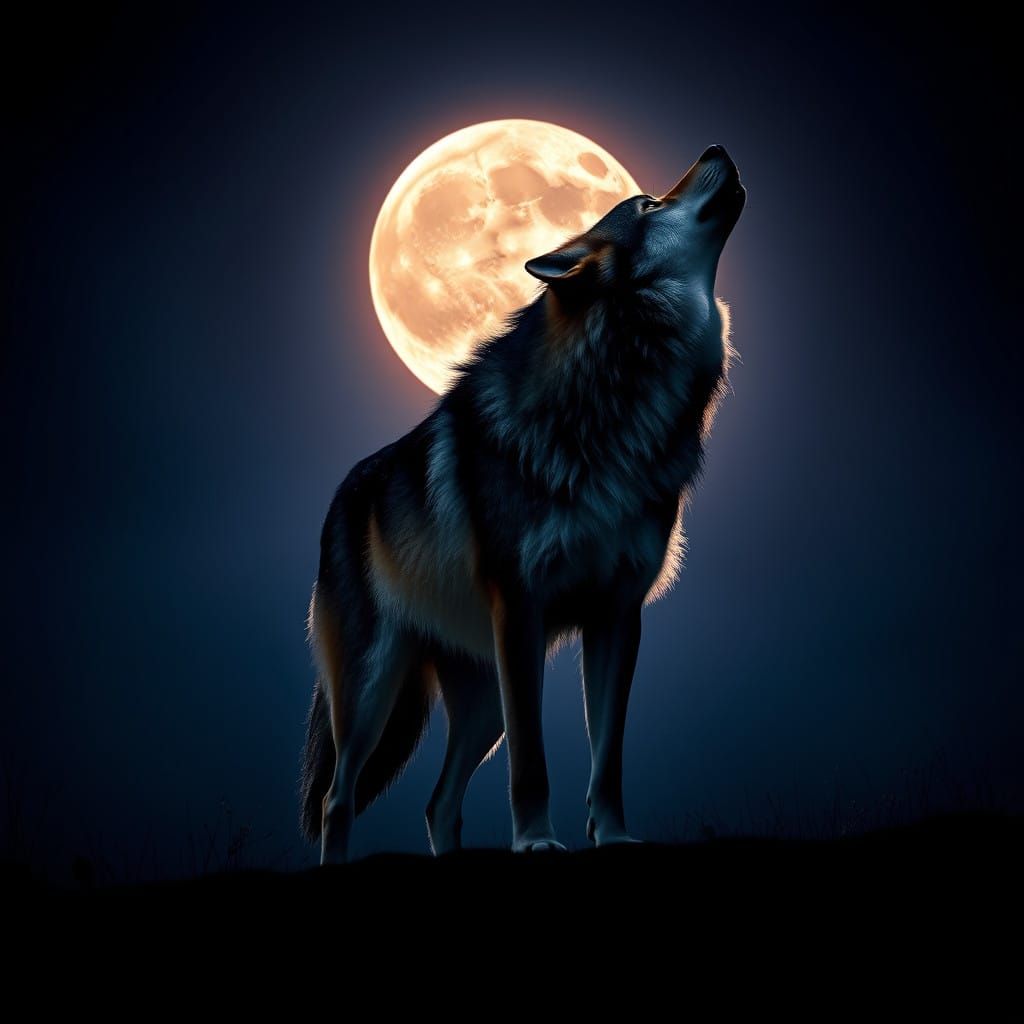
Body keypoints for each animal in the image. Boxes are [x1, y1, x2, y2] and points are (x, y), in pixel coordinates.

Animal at [300, 144, 745, 863]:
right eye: (649, 204)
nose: (716, 148)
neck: (612, 395)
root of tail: (342, 492)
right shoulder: (521, 608)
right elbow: (533, 763)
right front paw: (537, 840)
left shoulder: (618, 615)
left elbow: (608, 756)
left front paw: (613, 837)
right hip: (375, 690)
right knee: (337, 799)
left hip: (481, 708)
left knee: (437, 803)